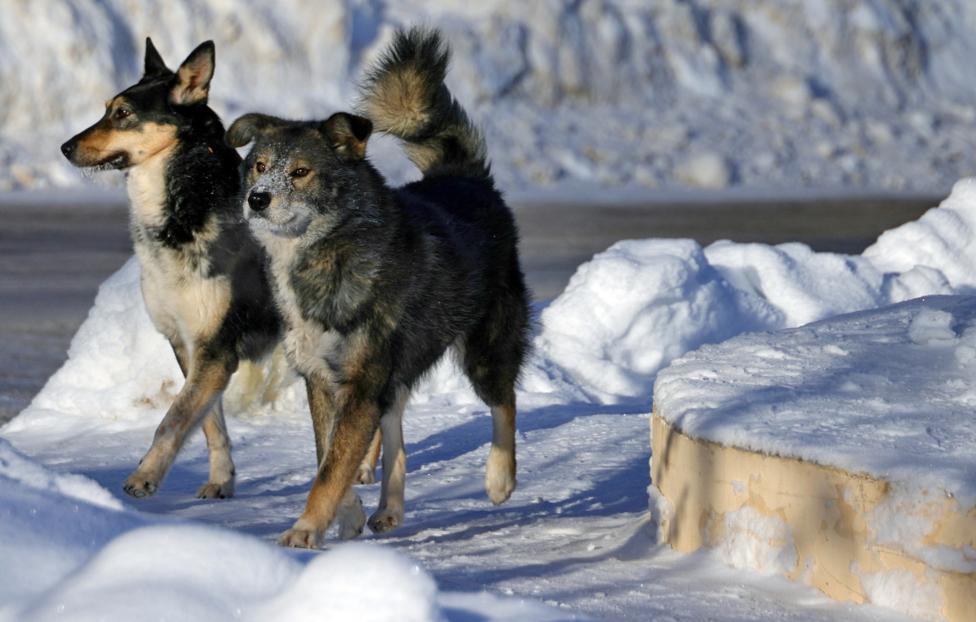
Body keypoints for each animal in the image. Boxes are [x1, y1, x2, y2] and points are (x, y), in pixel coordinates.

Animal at [60, 40, 282, 502]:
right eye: (106, 109)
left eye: (123, 113)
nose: (65, 147)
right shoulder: (187, 344)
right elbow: (209, 424)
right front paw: (221, 479)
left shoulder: (215, 349)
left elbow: (173, 419)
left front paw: (145, 476)